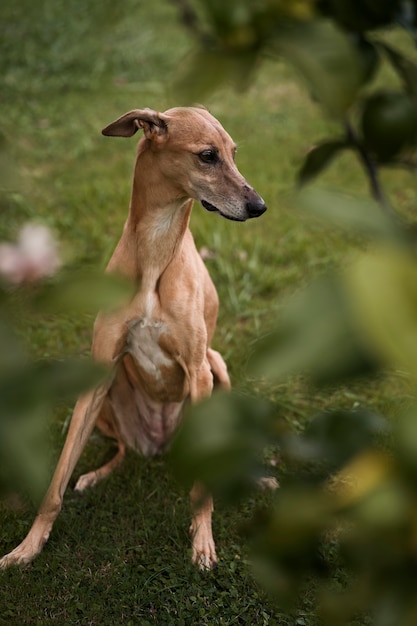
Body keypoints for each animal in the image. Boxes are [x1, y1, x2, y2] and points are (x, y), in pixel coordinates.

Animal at [0, 108, 264, 572]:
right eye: (208, 155)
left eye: (233, 153)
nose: (259, 206)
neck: (156, 251)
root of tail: (160, 446)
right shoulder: (101, 367)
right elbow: (55, 483)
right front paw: (26, 547)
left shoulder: (199, 371)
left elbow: (202, 488)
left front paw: (202, 544)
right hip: (113, 393)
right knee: (121, 451)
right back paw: (95, 474)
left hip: (217, 367)